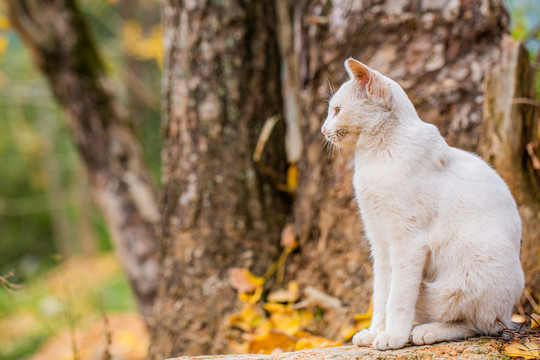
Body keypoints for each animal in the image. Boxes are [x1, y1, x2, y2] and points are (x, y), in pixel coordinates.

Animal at [322, 59, 524, 352]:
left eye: (336, 111)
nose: (322, 130)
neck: (373, 159)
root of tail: (510, 314)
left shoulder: (408, 243)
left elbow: (397, 298)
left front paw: (392, 337)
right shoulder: (380, 244)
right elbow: (381, 295)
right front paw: (374, 333)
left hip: (459, 282)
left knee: (479, 325)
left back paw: (425, 332)